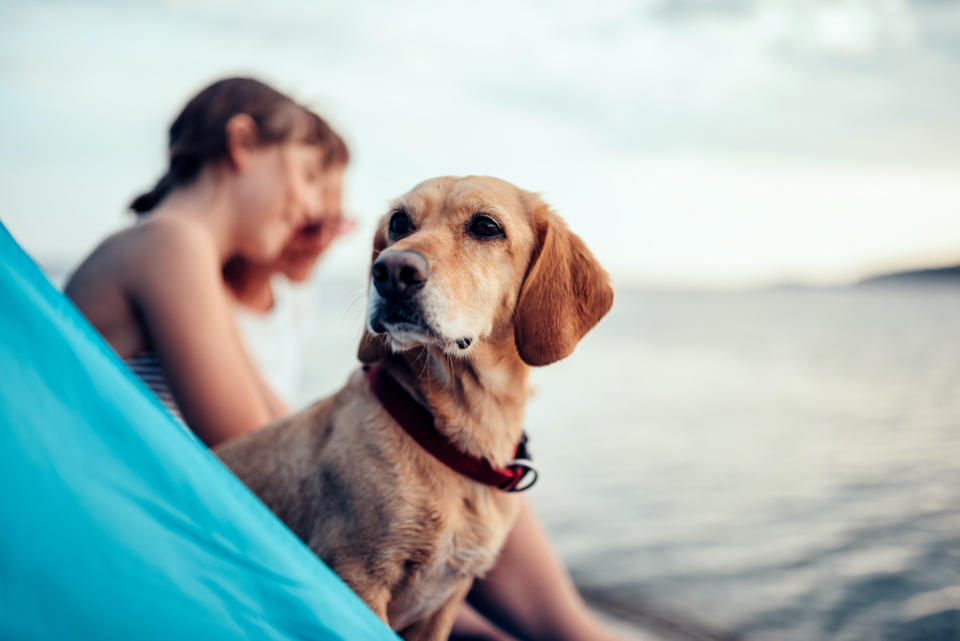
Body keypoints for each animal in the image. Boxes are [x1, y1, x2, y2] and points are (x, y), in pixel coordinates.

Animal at [215, 175, 612, 640]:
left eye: (486, 226)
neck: (456, 442)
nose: (391, 272)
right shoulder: (357, 579)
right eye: (399, 223)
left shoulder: (443, 604)